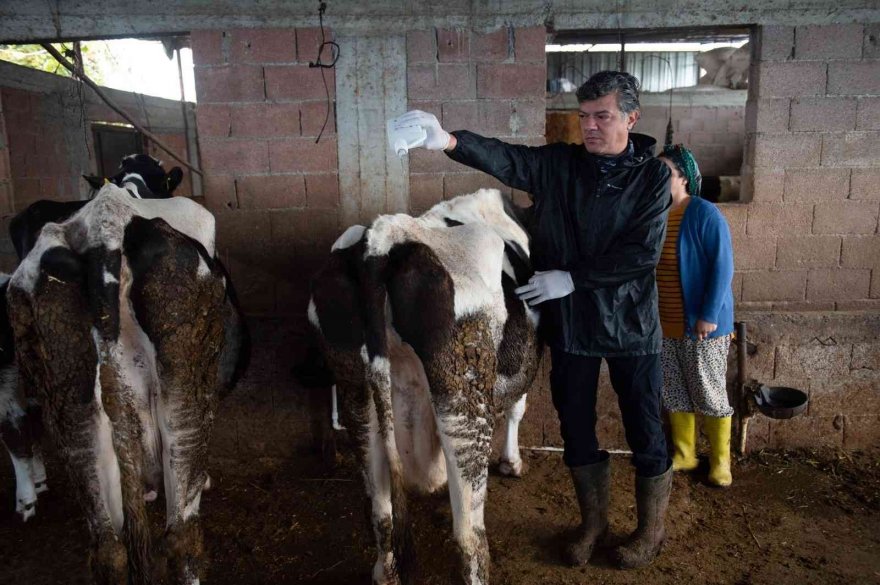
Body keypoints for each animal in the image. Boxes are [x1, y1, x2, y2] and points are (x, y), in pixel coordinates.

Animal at [310, 189, 544, 580]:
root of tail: (383, 241)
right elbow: (518, 406)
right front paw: (512, 463)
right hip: (463, 392)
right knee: (469, 536)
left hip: (354, 381)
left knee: (382, 513)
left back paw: (384, 570)